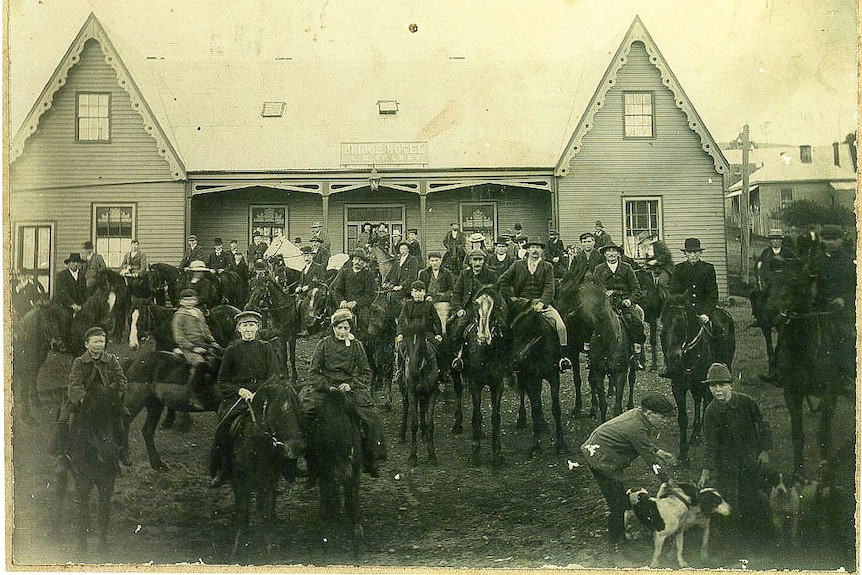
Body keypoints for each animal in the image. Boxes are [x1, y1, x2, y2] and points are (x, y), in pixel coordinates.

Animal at [52, 374, 125, 552]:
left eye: (115, 415)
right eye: (90, 415)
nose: (109, 453)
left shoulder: (107, 480)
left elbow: (104, 512)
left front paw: (103, 548)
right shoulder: (82, 479)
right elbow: (82, 512)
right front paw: (81, 549)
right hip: (61, 465)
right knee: (60, 490)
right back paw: (55, 531)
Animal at [228, 380, 306, 560]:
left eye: (298, 410)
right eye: (278, 411)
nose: (298, 447)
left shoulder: (270, 479)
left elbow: (267, 514)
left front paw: (269, 551)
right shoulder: (242, 480)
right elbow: (243, 511)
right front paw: (237, 549)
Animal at [398, 330, 438, 466]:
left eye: (421, 343)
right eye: (407, 341)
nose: (413, 371)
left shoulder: (432, 393)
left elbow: (430, 424)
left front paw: (431, 455)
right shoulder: (411, 394)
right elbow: (414, 425)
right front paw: (412, 456)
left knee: (422, 406)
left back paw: (424, 433)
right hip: (404, 390)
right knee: (405, 407)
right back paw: (402, 435)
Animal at [512, 300, 568, 456]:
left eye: (526, 334)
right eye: (515, 332)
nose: (515, 361)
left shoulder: (553, 377)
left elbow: (556, 409)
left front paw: (561, 444)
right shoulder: (531, 378)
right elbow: (535, 409)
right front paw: (536, 445)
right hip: (524, 377)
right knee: (522, 392)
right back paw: (522, 419)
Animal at [660, 294, 736, 466]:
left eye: (681, 324)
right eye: (663, 326)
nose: (673, 362)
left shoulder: (706, 384)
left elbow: (707, 407)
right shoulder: (678, 387)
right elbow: (682, 418)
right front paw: (683, 454)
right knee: (696, 399)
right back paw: (695, 434)